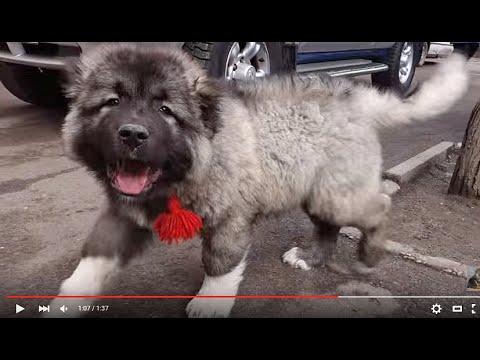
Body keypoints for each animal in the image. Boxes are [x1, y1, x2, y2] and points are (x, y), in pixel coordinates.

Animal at [50, 43, 466, 318]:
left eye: (165, 110)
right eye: (112, 102)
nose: (133, 134)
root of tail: (355, 98)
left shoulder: (230, 217)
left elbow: (220, 262)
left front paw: (209, 303)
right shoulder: (124, 213)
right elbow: (94, 255)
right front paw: (65, 301)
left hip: (338, 192)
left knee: (379, 204)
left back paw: (369, 254)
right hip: (316, 190)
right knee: (329, 226)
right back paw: (310, 258)